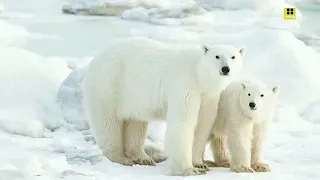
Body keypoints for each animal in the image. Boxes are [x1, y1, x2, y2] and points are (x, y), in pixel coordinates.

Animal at [82, 37, 245, 176]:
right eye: (217, 56)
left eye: (233, 57)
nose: (225, 69)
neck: (199, 74)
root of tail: (97, 56)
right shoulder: (185, 85)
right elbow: (183, 123)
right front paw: (188, 170)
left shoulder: (208, 95)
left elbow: (202, 125)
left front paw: (200, 164)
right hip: (109, 83)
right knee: (108, 123)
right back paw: (120, 158)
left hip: (134, 96)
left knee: (136, 122)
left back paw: (143, 157)